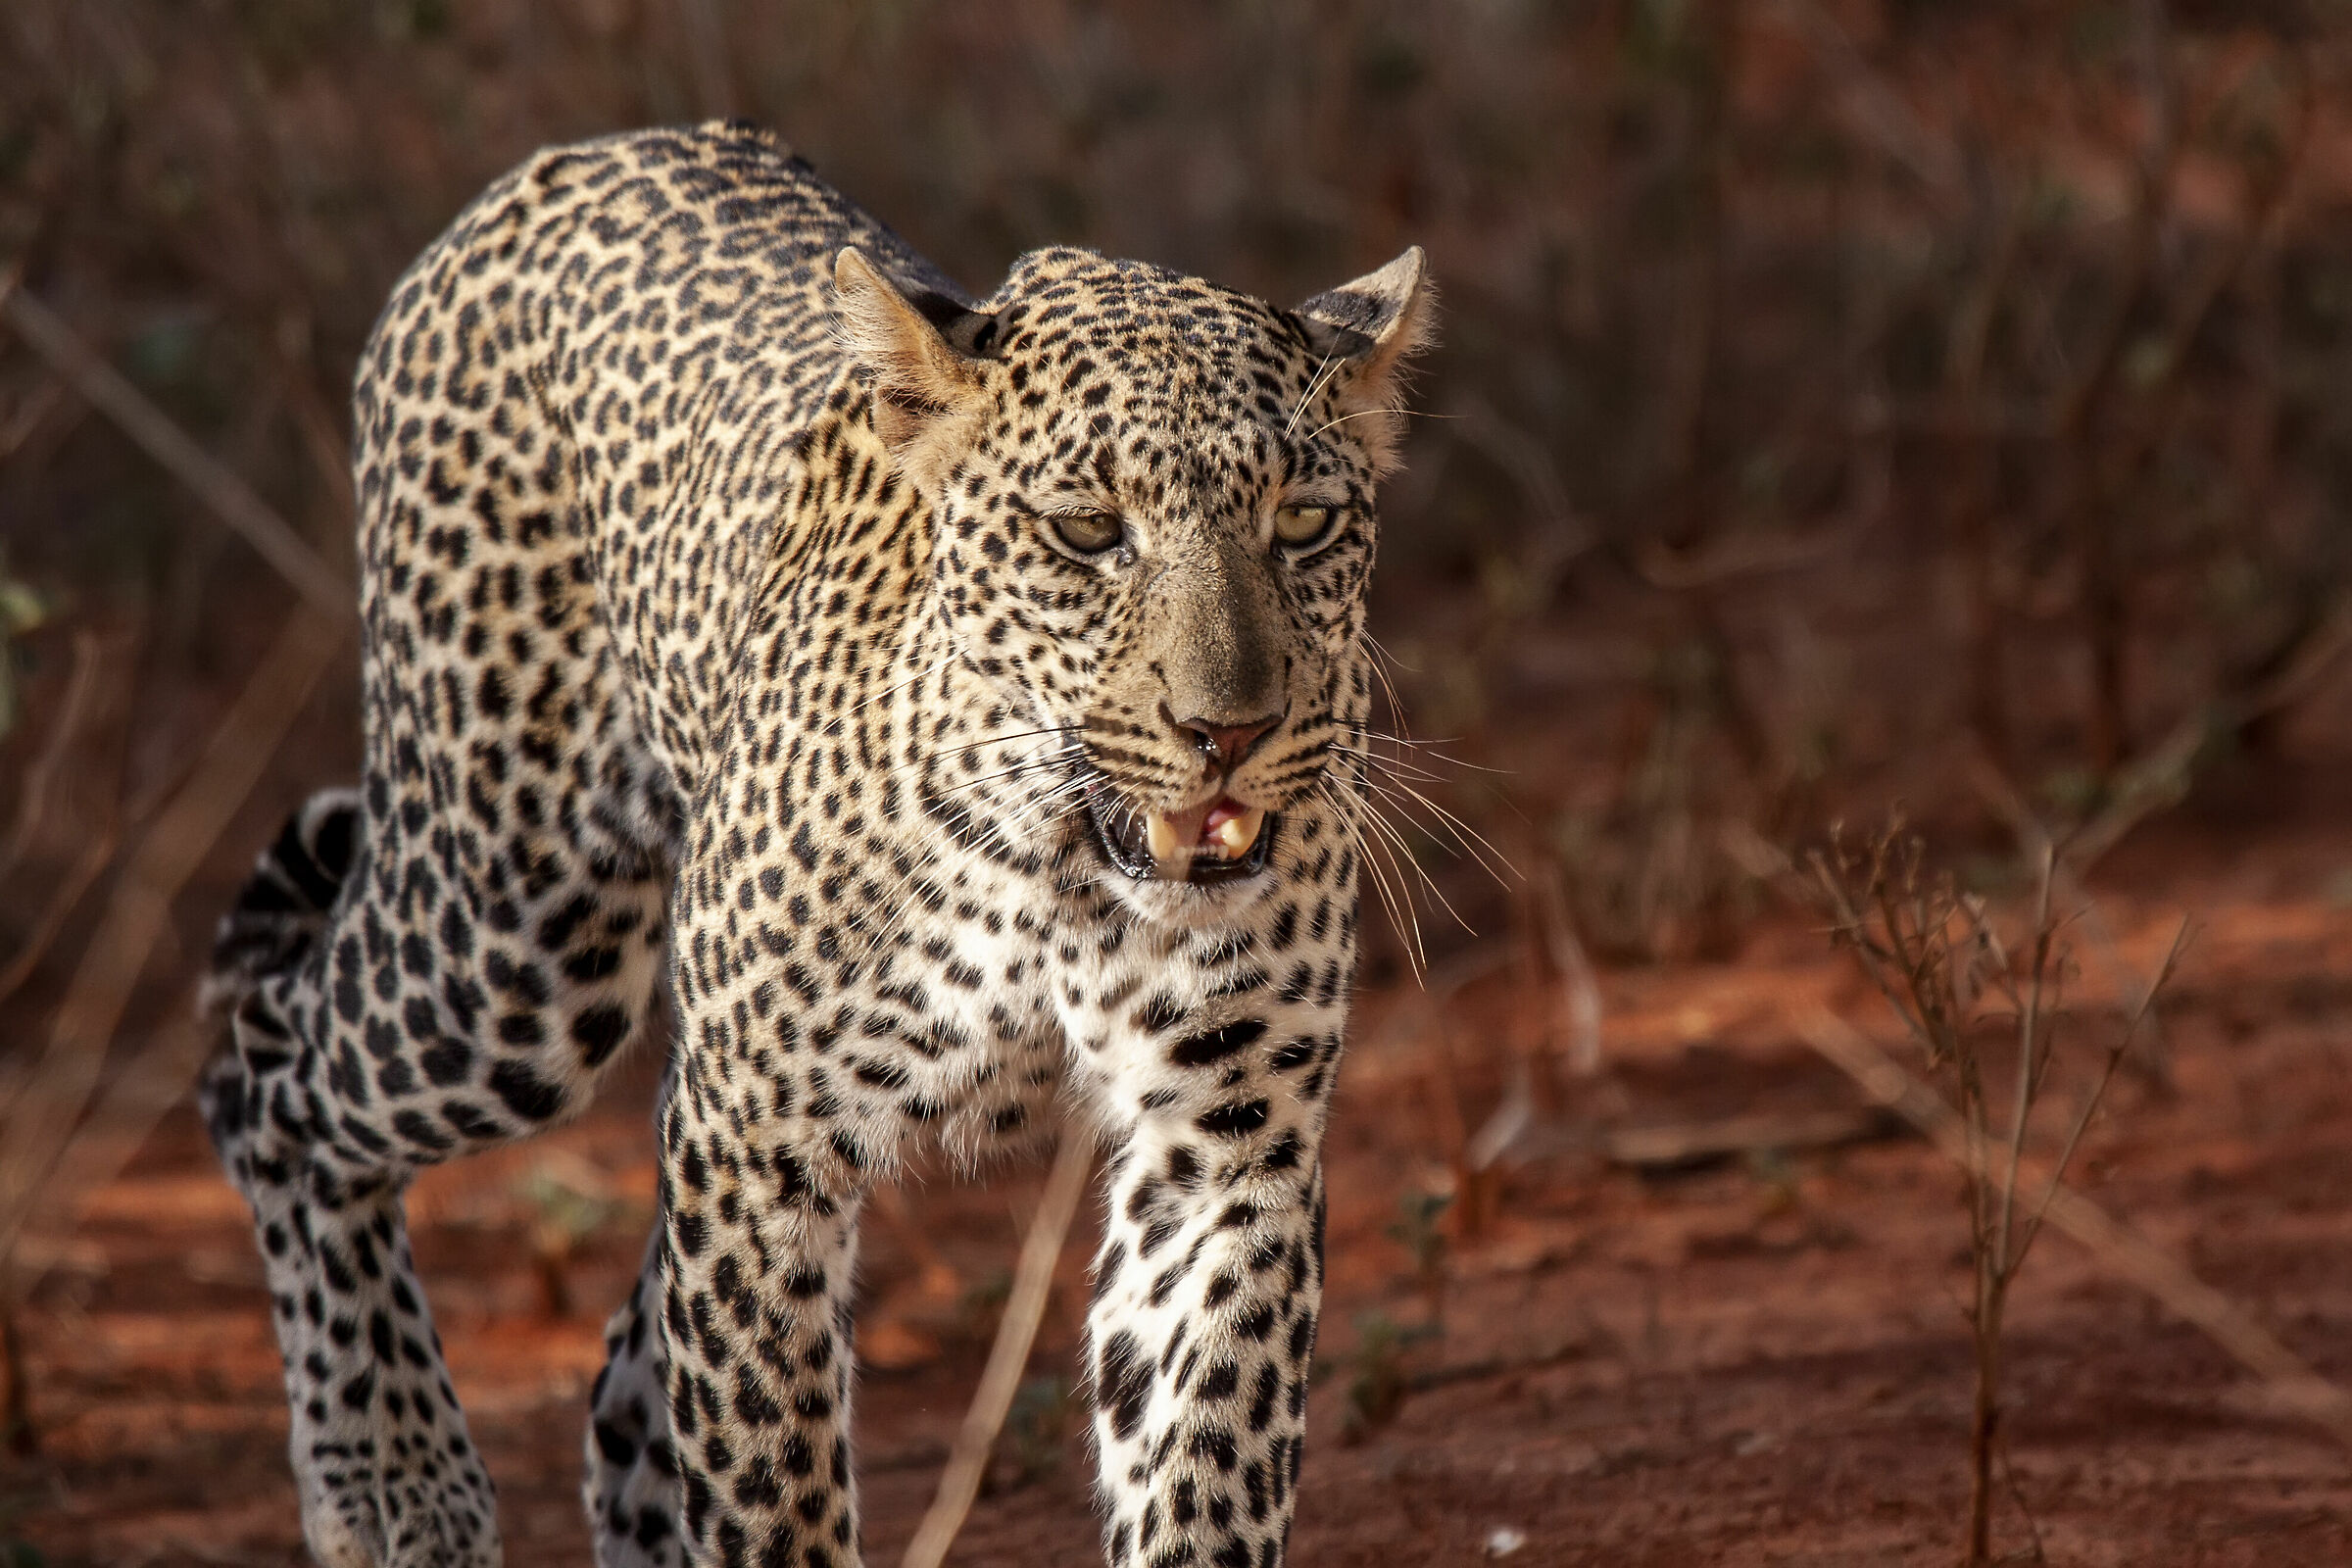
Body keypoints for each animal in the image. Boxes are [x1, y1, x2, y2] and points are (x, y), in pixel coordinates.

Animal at [197, 119, 1432, 1568]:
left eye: (1305, 525)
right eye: (1087, 533)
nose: (1228, 729)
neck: (1056, 865)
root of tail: (570, 157)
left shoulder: (1229, 1146)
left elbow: (1204, 1466)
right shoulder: (753, 1140)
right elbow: (767, 1477)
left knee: (623, 1380)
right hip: (508, 947)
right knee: (267, 1069)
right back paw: (391, 1477)